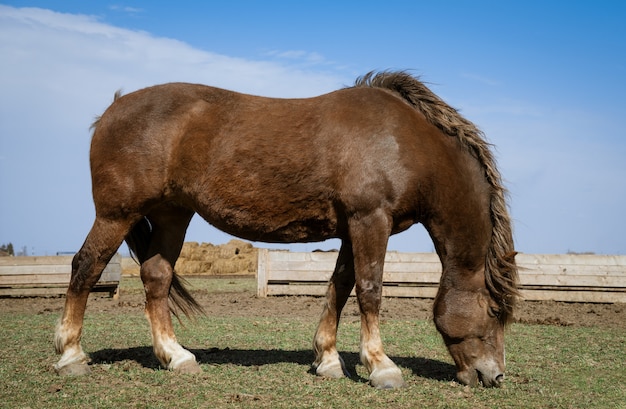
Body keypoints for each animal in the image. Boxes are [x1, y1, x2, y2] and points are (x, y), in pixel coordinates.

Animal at [54, 71, 516, 388]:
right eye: (494, 312)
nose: (493, 376)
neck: (403, 140)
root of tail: (112, 109)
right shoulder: (370, 220)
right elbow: (369, 290)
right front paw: (381, 366)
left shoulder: (352, 228)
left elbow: (339, 287)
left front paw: (327, 360)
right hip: (117, 214)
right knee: (86, 266)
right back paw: (70, 355)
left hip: (172, 215)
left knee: (155, 277)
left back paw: (176, 356)